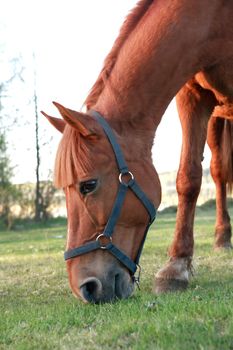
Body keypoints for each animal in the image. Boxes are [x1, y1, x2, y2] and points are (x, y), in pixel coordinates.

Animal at [41, 0, 233, 304]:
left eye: (88, 185)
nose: (85, 287)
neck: (215, 18)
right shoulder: (191, 96)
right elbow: (188, 179)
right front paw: (176, 267)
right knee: (217, 171)